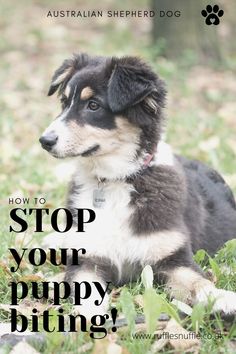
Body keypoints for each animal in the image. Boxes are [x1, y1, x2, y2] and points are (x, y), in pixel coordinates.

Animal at [40, 53, 236, 320]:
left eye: (94, 105)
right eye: (64, 102)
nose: (44, 141)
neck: (115, 181)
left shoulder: (172, 258)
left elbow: (197, 280)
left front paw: (222, 298)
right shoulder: (88, 259)